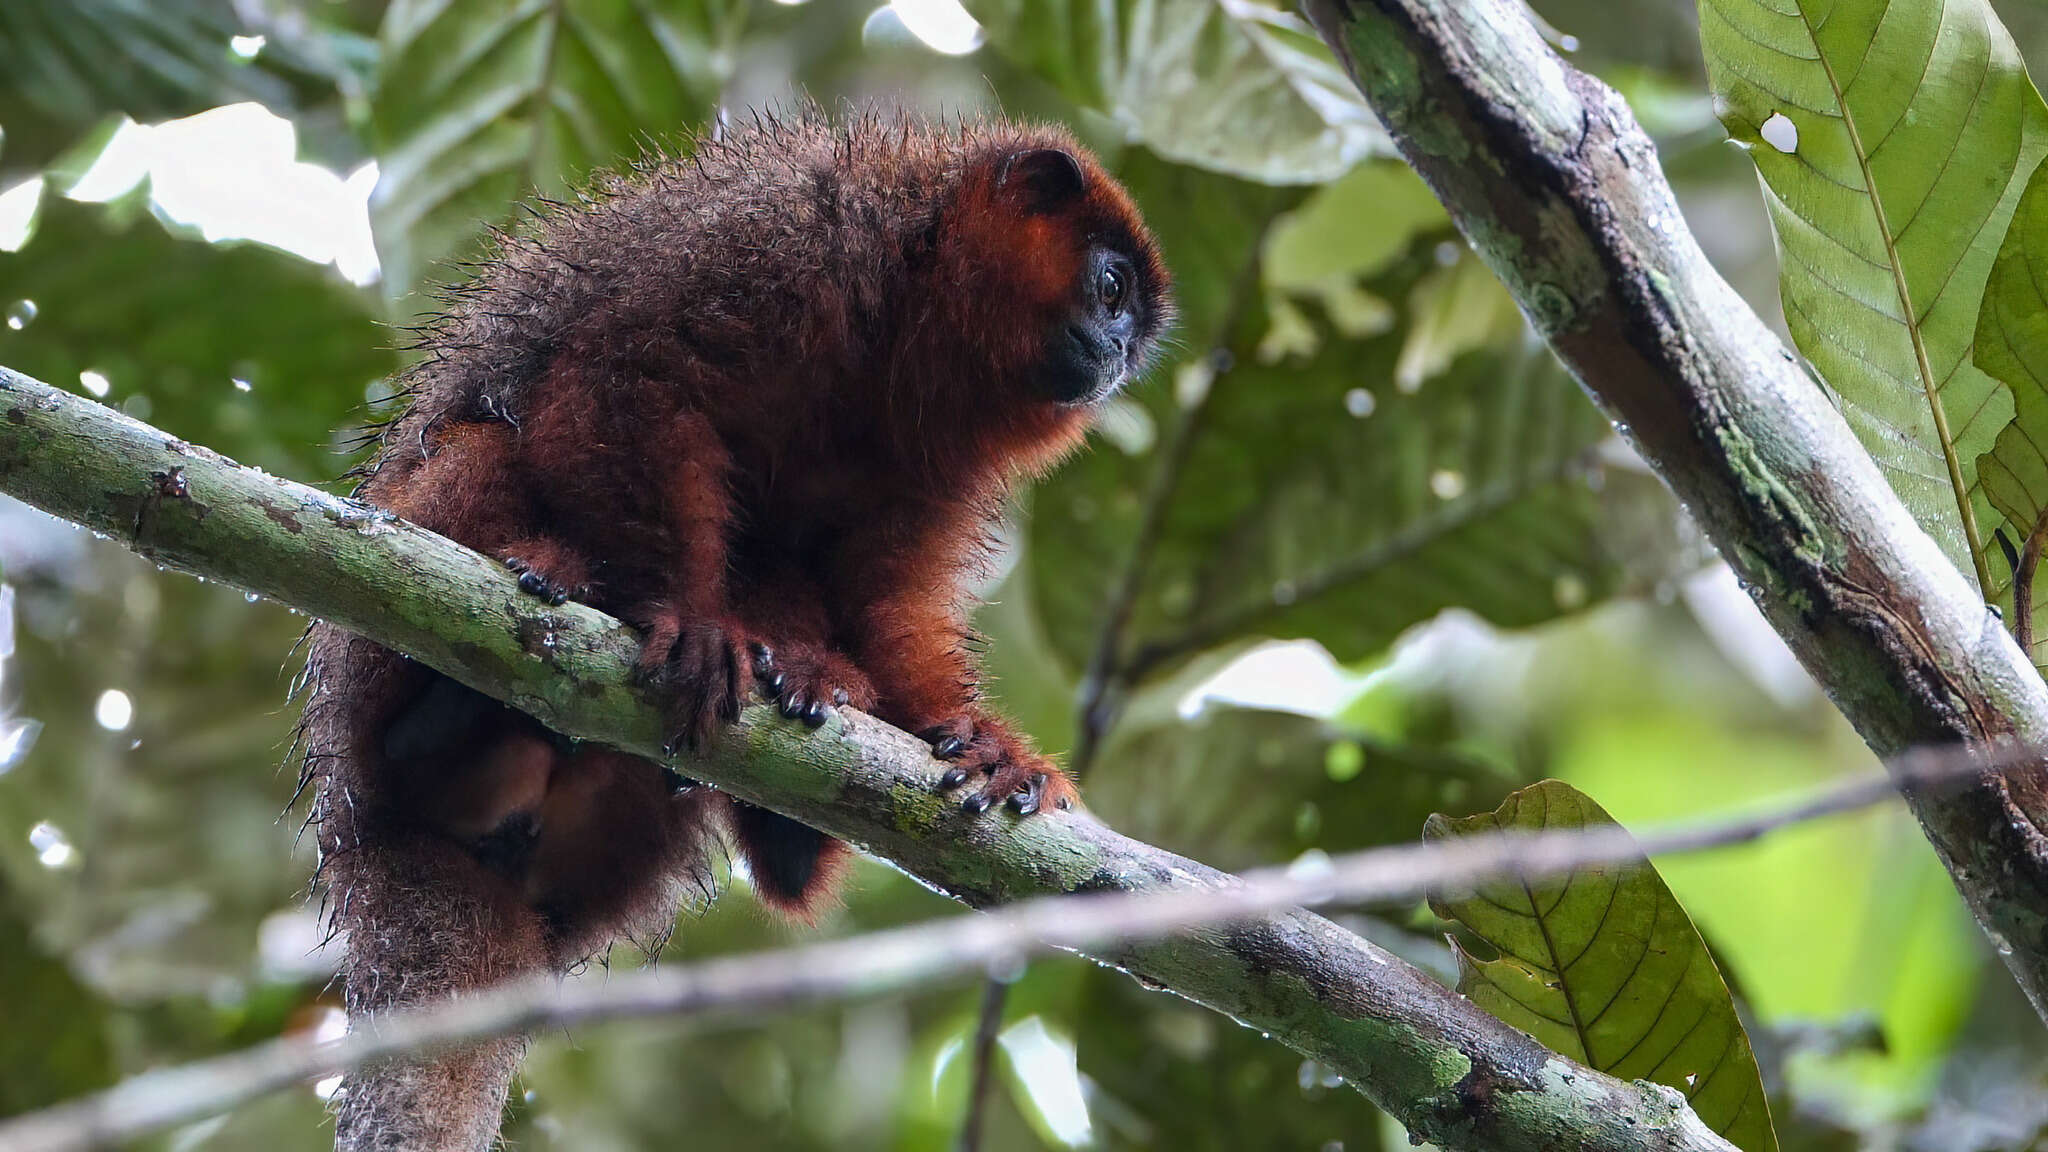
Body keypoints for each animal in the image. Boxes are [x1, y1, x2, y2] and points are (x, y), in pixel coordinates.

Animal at [301, 105, 1171, 1139]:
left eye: (1132, 328)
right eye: (1109, 289)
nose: (1115, 358)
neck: (898, 314)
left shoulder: (939, 465)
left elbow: (887, 595)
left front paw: (973, 738)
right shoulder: (777, 238)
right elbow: (625, 368)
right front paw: (693, 622)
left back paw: (793, 775)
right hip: (366, 662)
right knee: (487, 447)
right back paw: (468, 684)